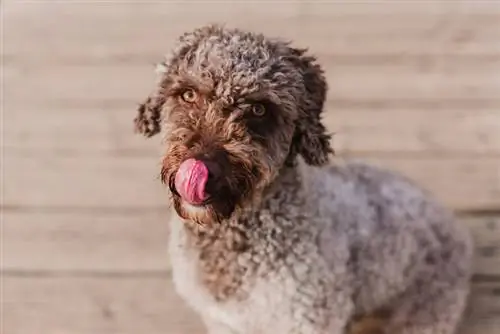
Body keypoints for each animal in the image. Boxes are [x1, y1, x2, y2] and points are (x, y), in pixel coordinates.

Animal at [135, 24, 474, 334]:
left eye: (259, 109)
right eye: (188, 94)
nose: (203, 165)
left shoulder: (310, 319)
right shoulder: (224, 322)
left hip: (424, 313)